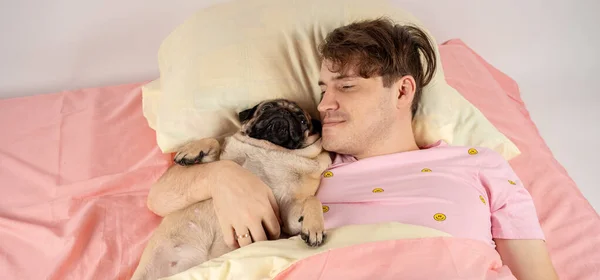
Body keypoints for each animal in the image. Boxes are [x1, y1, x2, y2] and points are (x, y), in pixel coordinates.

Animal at [131, 99, 332, 278]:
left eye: (302, 120)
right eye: (266, 107)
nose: (283, 112)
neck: (272, 148)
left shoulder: (287, 214)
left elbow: (312, 199)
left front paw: (314, 227)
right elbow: (214, 141)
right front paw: (192, 151)